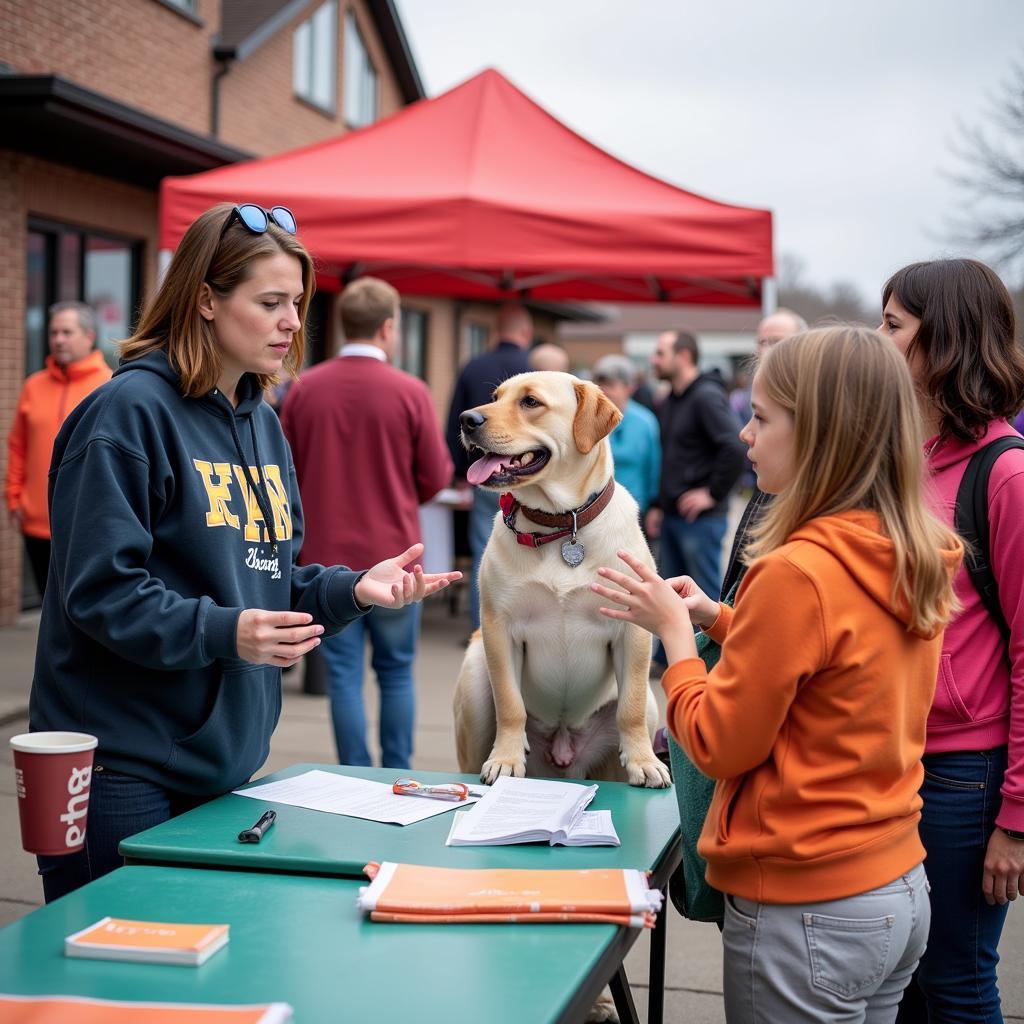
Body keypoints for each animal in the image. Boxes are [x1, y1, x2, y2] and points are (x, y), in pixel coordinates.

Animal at [456, 372, 671, 786]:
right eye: (496, 397)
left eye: (530, 402)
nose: (466, 419)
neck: (561, 525)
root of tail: (563, 753)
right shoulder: (499, 628)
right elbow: (510, 704)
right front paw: (506, 759)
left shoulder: (632, 629)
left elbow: (631, 707)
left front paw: (643, 762)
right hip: (474, 679)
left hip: (648, 710)